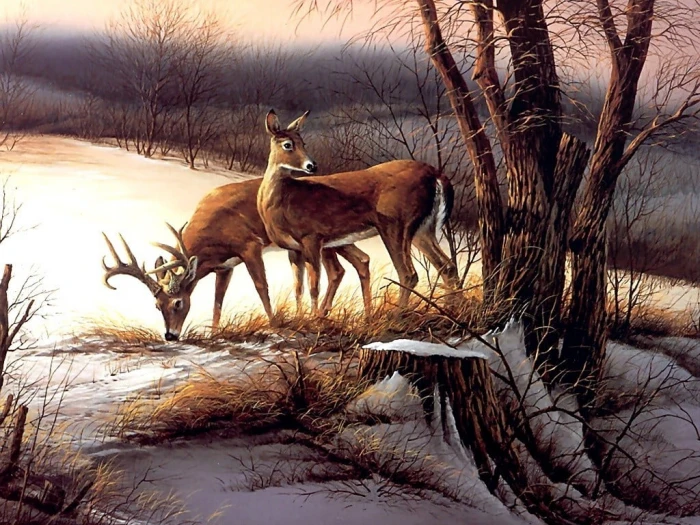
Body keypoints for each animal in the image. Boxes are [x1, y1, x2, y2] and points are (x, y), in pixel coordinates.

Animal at [102, 177, 373, 341]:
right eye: (157, 306)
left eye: (178, 303)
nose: (170, 335)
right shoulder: (225, 266)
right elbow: (217, 301)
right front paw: (213, 334)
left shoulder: (250, 246)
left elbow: (262, 287)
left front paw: (274, 324)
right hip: (335, 241)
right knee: (358, 261)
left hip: (320, 239)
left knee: (339, 268)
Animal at [257, 109, 459, 316]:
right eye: (288, 144)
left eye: (303, 142)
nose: (311, 165)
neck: (283, 199)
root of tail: (437, 175)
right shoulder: (295, 248)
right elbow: (298, 287)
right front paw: (303, 317)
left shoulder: (311, 237)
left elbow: (314, 286)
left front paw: (313, 317)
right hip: (423, 229)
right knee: (447, 266)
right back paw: (450, 310)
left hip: (396, 224)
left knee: (408, 273)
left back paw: (397, 315)